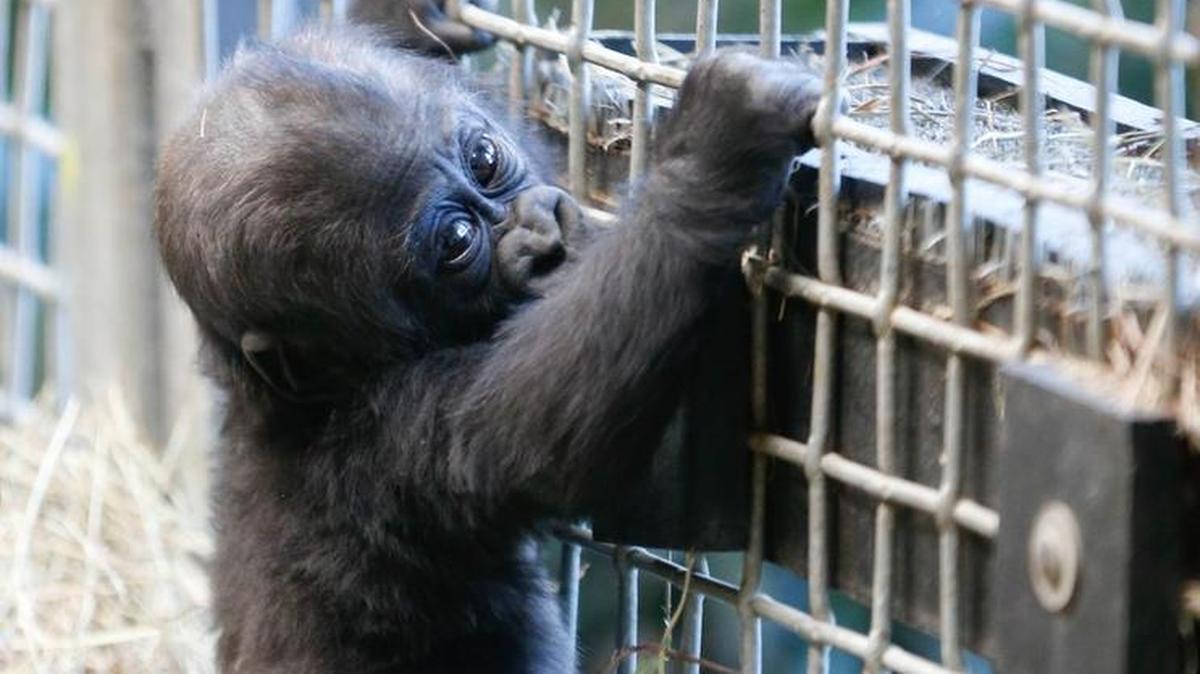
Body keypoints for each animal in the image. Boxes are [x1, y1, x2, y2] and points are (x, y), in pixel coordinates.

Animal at [154, 1, 821, 671]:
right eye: (456, 241)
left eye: (485, 162)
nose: (547, 235)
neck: (306, 403)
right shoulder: (397, 436)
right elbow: (549, 429)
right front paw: (716, 151)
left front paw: (398, 20)